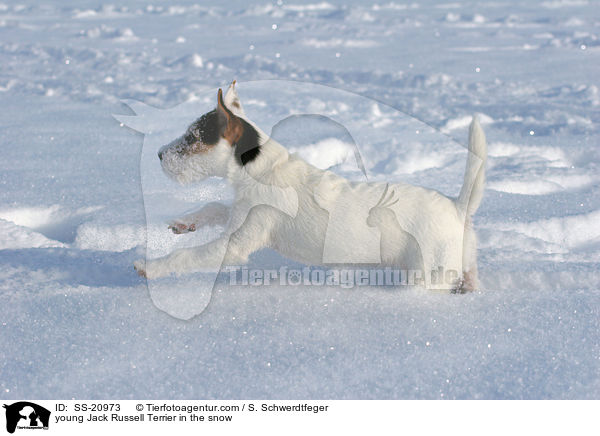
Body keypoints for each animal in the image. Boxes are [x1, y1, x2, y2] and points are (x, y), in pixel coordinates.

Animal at [134, 82, 486, 292]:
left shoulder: (235, 244)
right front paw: (184, 222)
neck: (260, 168)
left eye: (192, 138)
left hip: (428, 272)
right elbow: (214, 207)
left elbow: (187, 256)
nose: (159, 154)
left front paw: (150, 267)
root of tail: (458, 208)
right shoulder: (239, 214)